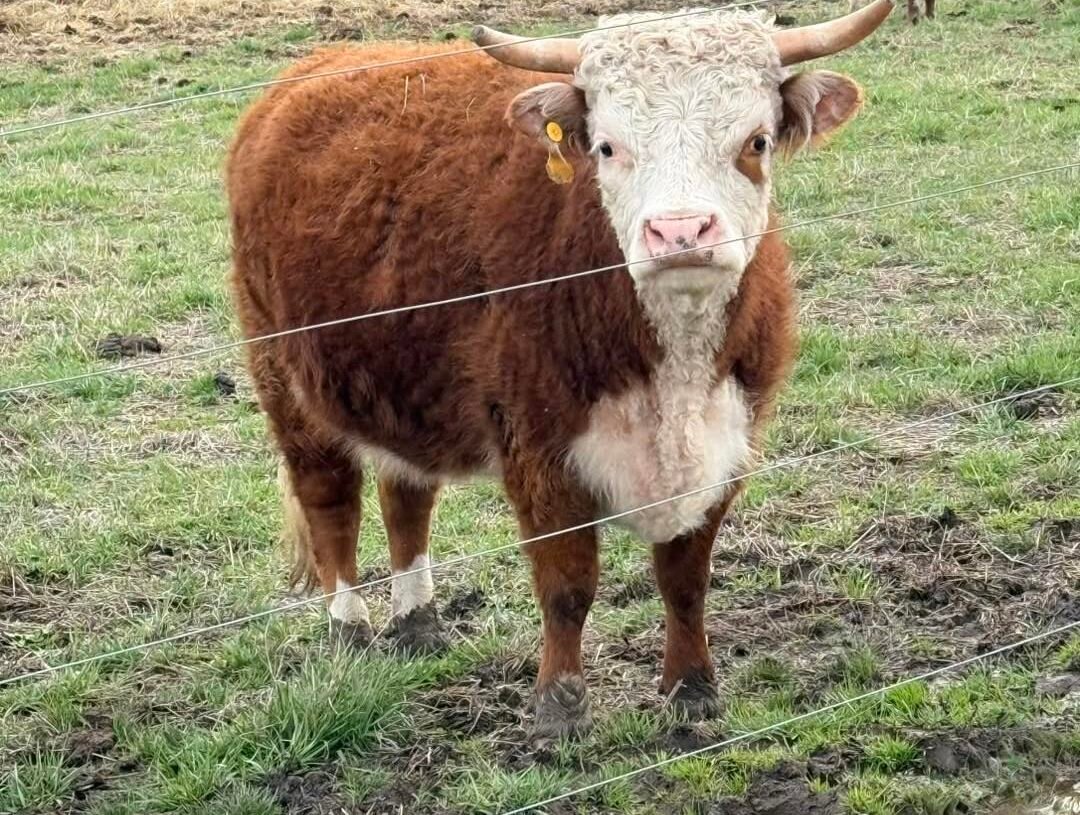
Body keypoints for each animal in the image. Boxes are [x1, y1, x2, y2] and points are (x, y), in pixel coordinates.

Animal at [226, 0, 894, 742]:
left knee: (407, 494)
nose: (680, 233)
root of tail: (313, 70)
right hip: (282, 372)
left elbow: (686, 575)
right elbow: (567, 584)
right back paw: (350, 627)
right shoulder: (538, 448)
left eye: (756, 141)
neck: (674, 372)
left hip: (400, 380)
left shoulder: (731, 437)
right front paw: (560, 707)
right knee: (330, 498)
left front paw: (693, 688)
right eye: (606, 147)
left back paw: (418, 622)